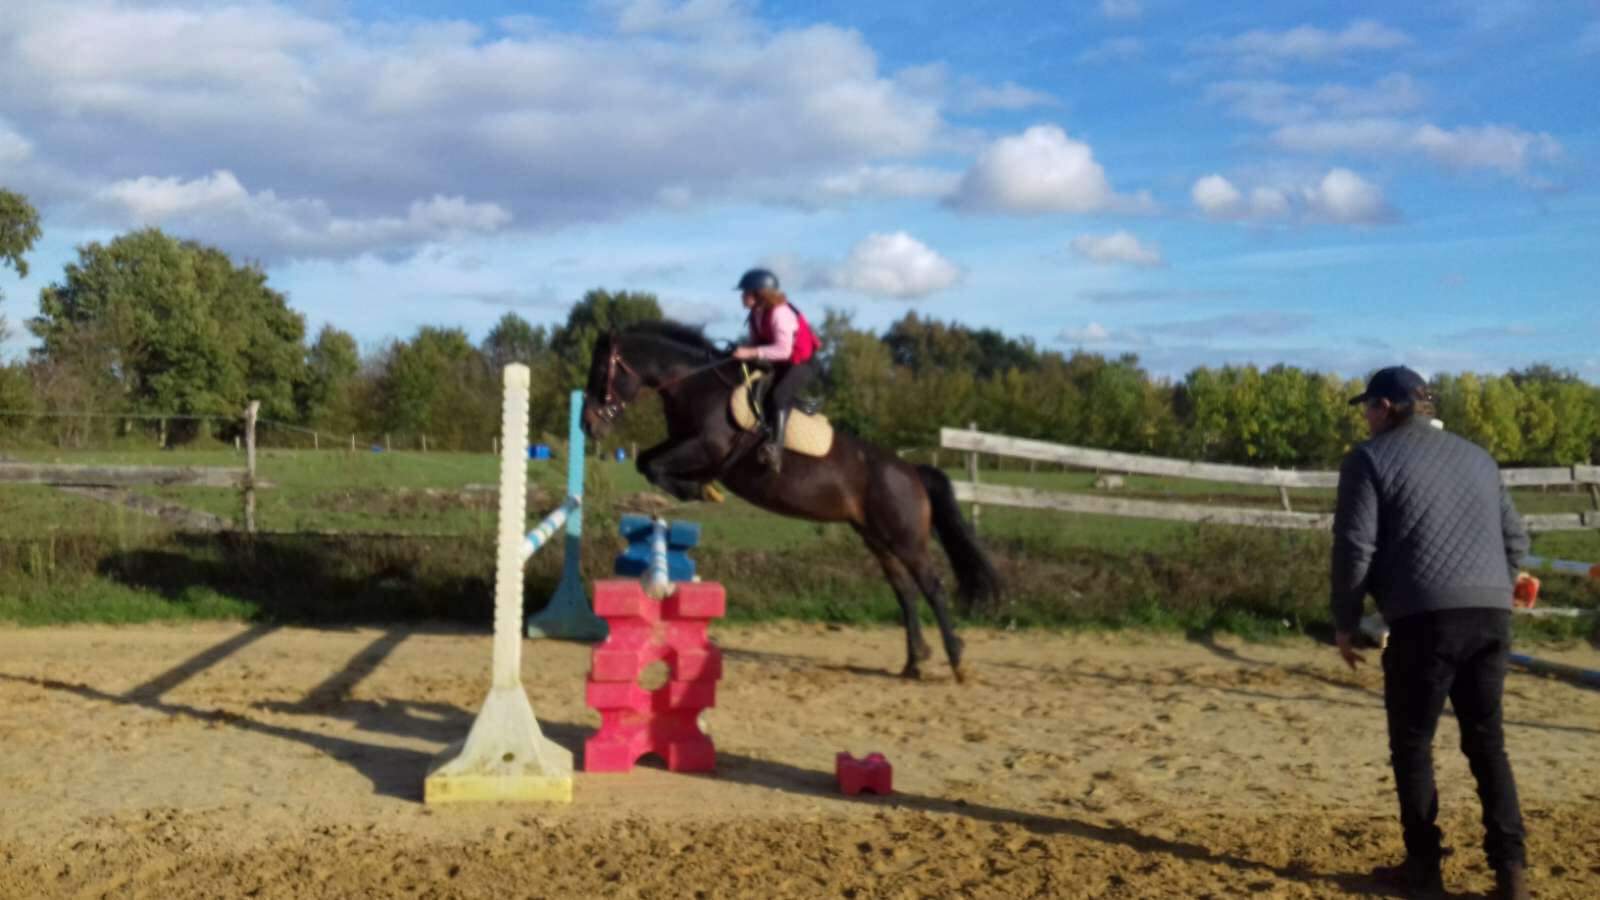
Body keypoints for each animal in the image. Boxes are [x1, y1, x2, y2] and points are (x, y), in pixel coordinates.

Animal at [580, 320, 1001, 681]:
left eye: (601, 371)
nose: (588, 424)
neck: (697, 385)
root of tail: (912, 471)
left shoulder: (704, 448)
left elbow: (653, 465)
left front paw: (701, 490)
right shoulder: (682, 445)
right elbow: (646, 462)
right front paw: (700, 490)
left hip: (905, 539)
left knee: (932, 587)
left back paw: (956, 660)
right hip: (876, 538)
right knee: (905, 591)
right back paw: (914, 662)